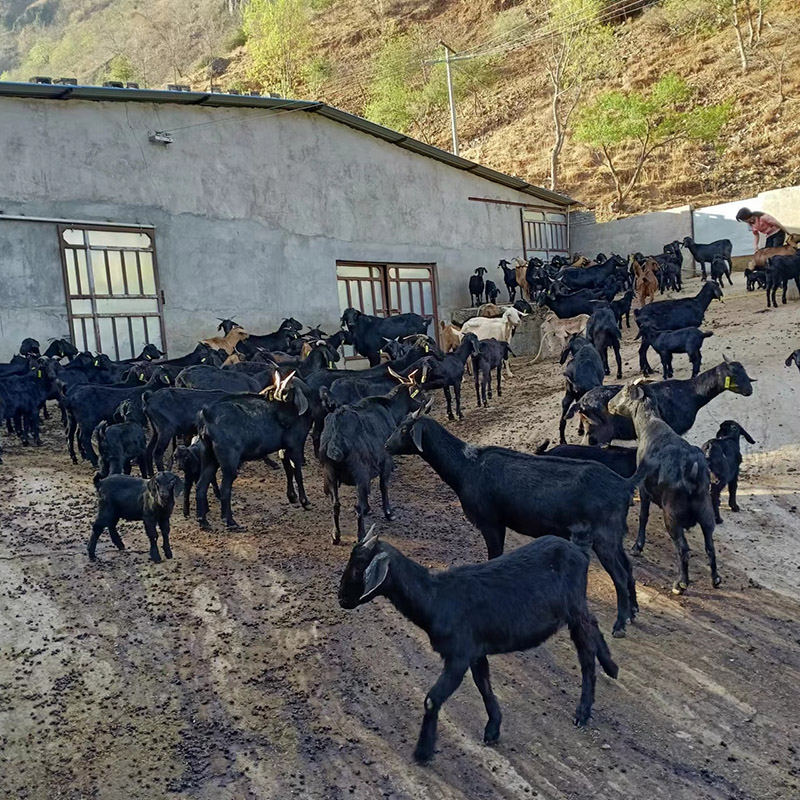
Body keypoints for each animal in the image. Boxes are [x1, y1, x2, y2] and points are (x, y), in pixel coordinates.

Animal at [339, 531, 618, 763]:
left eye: (358, 569)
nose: (341, 598)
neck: (436, 598)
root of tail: (579, 550)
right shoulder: (475, 651)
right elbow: (483, 684)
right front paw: (493, 728)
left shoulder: (459, 654)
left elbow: (432, 699)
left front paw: (423, 752)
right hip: (577, 606)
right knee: (593, 624)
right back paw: (611, 667)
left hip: (573, 608)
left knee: (586, 651)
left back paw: (583, 711)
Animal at [386, 412, 641, 636]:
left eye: (405, 429)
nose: (387, 445)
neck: (466, 467)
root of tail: (624, 485)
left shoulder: (491, 522)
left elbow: (494, 557)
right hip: (614, 534)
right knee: (627, 566)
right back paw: (632, 613)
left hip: (603, 535)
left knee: (619, 575)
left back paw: (620, 625)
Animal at [608, 383, 720, 594]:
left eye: (625, 391)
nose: (609, 404)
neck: (650, 427)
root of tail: (692, 471)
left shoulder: (644, 489)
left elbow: (643, 516)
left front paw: (637, 547)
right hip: (705, 510)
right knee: (709, 543)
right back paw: (715, 579)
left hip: (672, 515)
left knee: (683, 549)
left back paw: (680, 584)